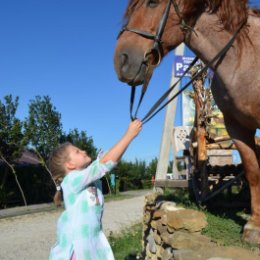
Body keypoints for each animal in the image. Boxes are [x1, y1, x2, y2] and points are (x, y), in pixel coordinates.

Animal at [114, 0, 260, 244]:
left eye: (152, 3)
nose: (121, 60)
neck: (244, 56)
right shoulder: (237, 127)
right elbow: (253, 170)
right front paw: (254, 226)